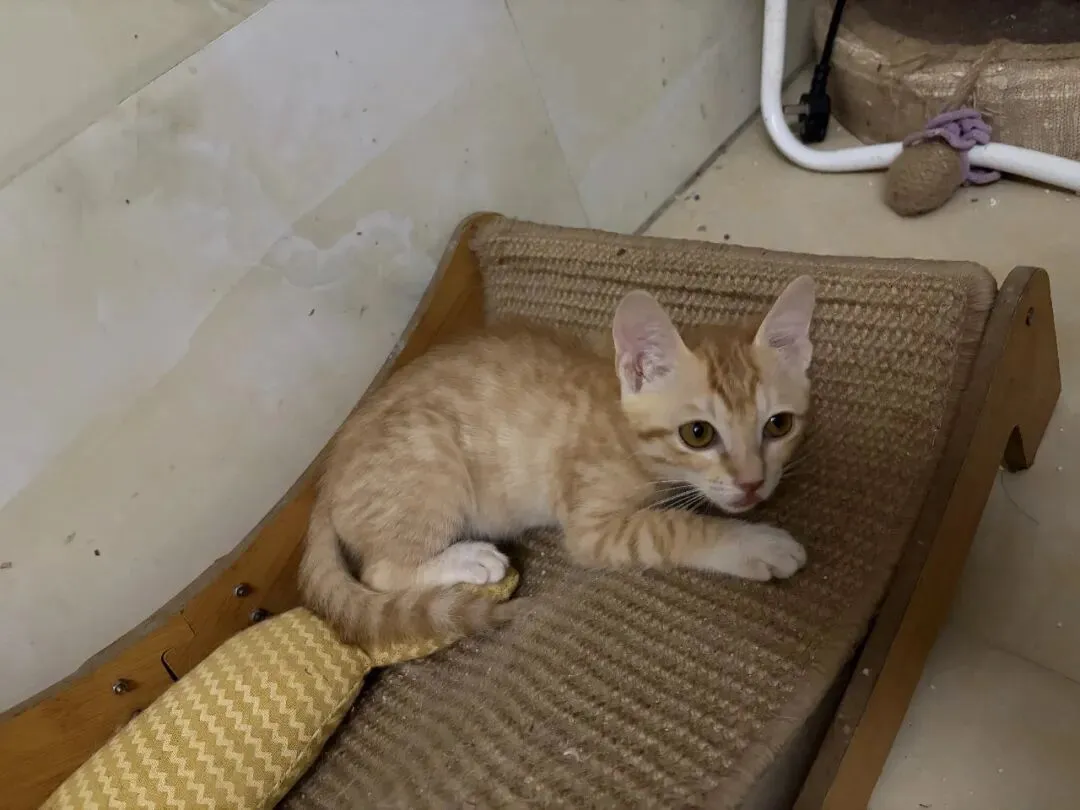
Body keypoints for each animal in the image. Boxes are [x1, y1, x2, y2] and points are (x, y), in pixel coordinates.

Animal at [299, 276, 816, 650]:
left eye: (778, 425)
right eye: (698, 434)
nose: (752, 483)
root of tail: (325, 476)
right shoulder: (592, 526)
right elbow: (676, 526)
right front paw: (755, 544)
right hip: (428, 457)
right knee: (378, 572)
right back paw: (470, 558)